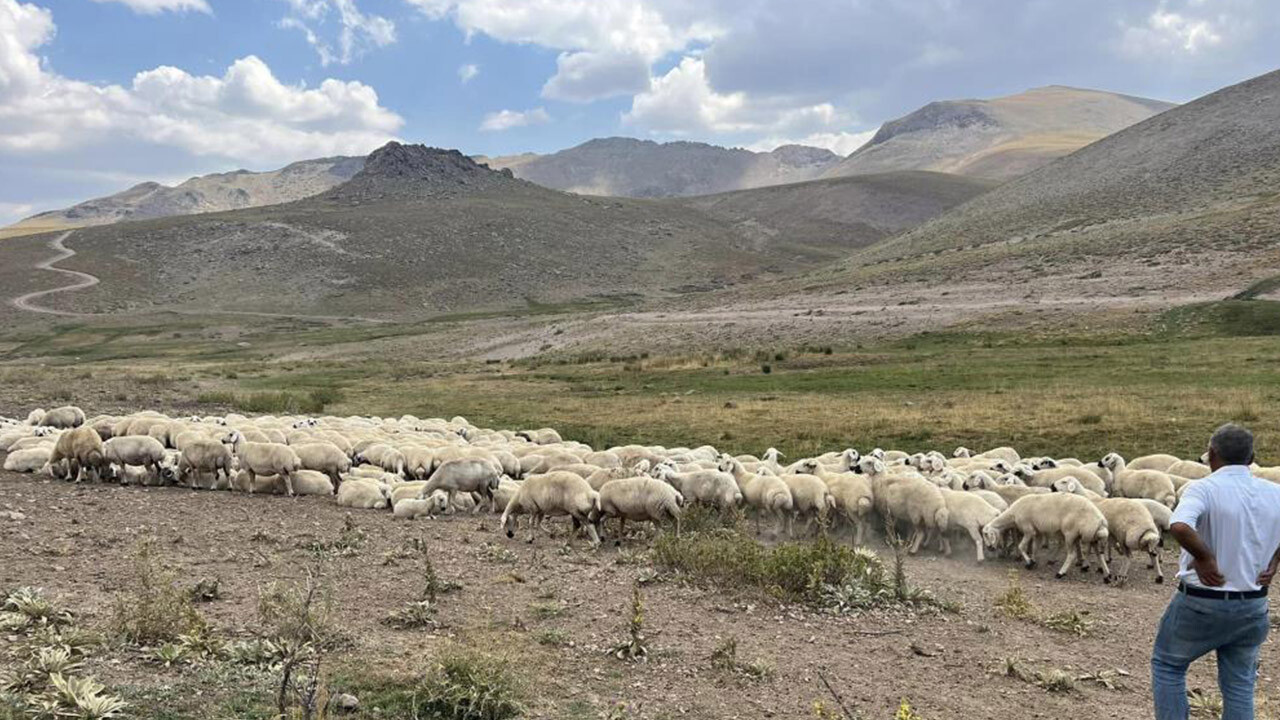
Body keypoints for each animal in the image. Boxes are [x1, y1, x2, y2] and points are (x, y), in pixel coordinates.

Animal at [977, 491, 1111, 576]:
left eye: (986, 534)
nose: (989, 547)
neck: (1012, 515)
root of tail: (1100, 520)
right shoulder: (1038, 532)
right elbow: (1035, 548)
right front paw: (1033, 561)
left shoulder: (1028, 529)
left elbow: (1021, 547)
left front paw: (1029, 562)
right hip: (1092, 537)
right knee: (1099, 554)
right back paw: (1107, 576)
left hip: (1070, 533)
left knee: (1071, 554)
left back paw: (1061, 573)